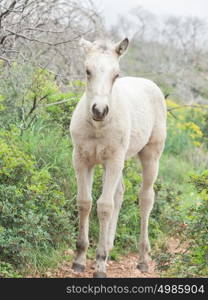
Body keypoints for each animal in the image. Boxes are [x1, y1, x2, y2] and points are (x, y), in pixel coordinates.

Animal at [69, 38, 167, 278]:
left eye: (116, 74)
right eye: (87, 71)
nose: (99, 110)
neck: (97, 126)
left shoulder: (113, 160)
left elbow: (104, 206)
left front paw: (100, 265)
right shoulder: (82, 159)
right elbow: (84, 202)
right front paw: (80, 259)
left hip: (150, 155)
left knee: (146, 198)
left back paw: (142, 259)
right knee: (120, 193)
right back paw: (109, 245)